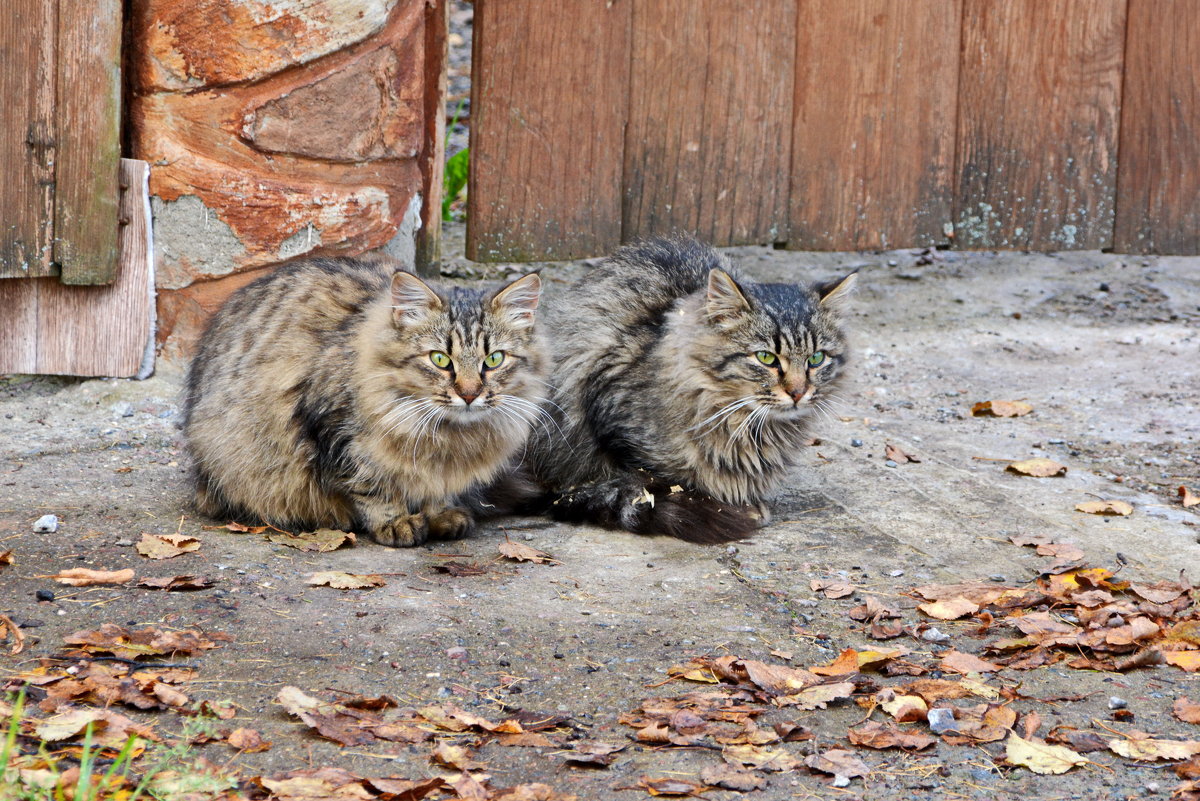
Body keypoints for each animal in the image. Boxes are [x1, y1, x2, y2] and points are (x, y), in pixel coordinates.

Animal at [183, 257, 549, 551]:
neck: (449, 435)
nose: (470, 394)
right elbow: (372, 487)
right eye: (440, 359)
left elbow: (435, 490)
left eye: (495, 359)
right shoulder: (338, 435)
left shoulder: (439, 467)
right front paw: (395, 522)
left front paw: (440, 514)